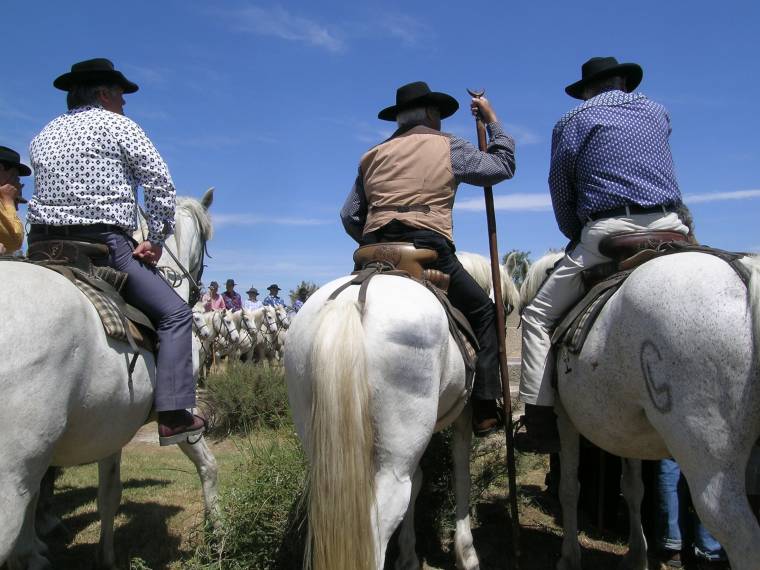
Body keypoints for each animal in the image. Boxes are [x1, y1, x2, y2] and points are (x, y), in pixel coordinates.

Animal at [0, 189, 220, 564]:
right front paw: (217, 530)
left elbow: (108, 494)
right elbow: (208, 464)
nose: (199, 293)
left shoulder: (111, 424)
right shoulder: (183, 414)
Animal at [524, 251, 760, 564]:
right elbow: (634, 488)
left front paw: (570, 557)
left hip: (710, 466)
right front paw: (637, 555)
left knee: (741, 537)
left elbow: (569, 488)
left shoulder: (564, 420)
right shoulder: (628, 434)